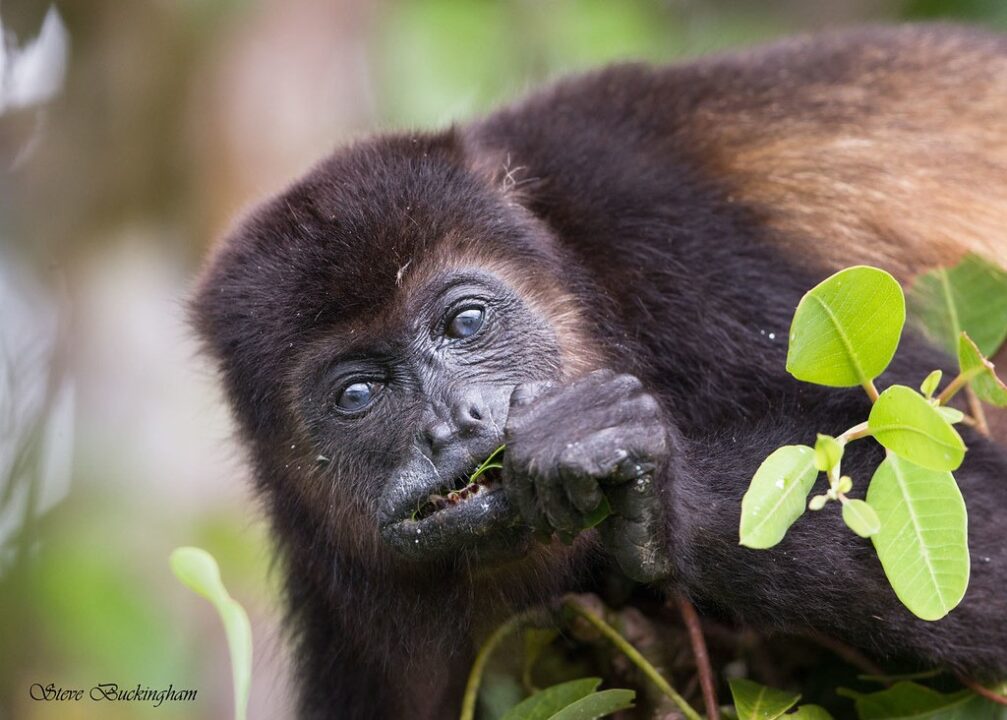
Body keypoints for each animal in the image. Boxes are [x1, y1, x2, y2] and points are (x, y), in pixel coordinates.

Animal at [192, 25, 1007, 720]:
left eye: (466, 323)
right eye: (356, 394)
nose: (454, 423)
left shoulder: (676, 250)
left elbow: (967, 499)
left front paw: (654, 495)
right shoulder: (336, 605)